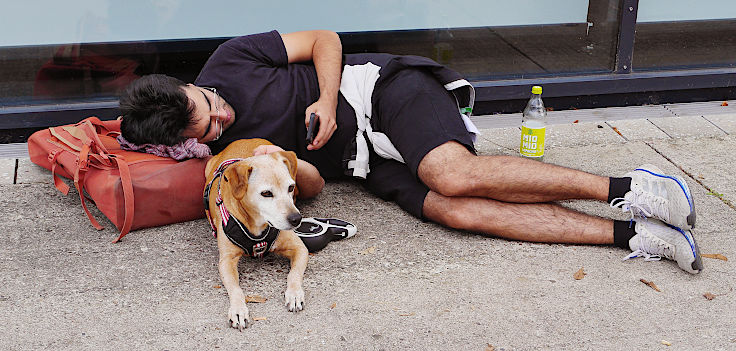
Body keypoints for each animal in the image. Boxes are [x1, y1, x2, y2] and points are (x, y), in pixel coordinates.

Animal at [206, 139, 310, 332]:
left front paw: (294, 293)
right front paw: (238, 309)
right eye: (266, 193)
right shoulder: (226, 261)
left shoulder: (300, 248)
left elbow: (294, 274)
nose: (296, 219)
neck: (257, 225)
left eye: (290, 187)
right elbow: (236, 289)